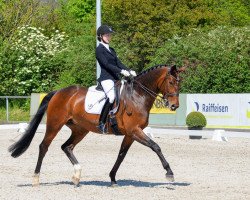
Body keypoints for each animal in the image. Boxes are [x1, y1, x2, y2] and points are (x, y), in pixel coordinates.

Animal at [8, 65, 185, 187]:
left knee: (67, 147)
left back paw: (77, 176)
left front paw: (113, 178)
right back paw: (36, 178)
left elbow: (121, 155)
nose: (174, 106)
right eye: (170, 82)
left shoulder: (130, 134)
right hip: (54, 124)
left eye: (179, 83)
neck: (137, 96)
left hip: (80, 129)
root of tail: (58, 92)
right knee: (44, 146)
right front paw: (169, 173)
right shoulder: (134, 130)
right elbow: (156, 147)